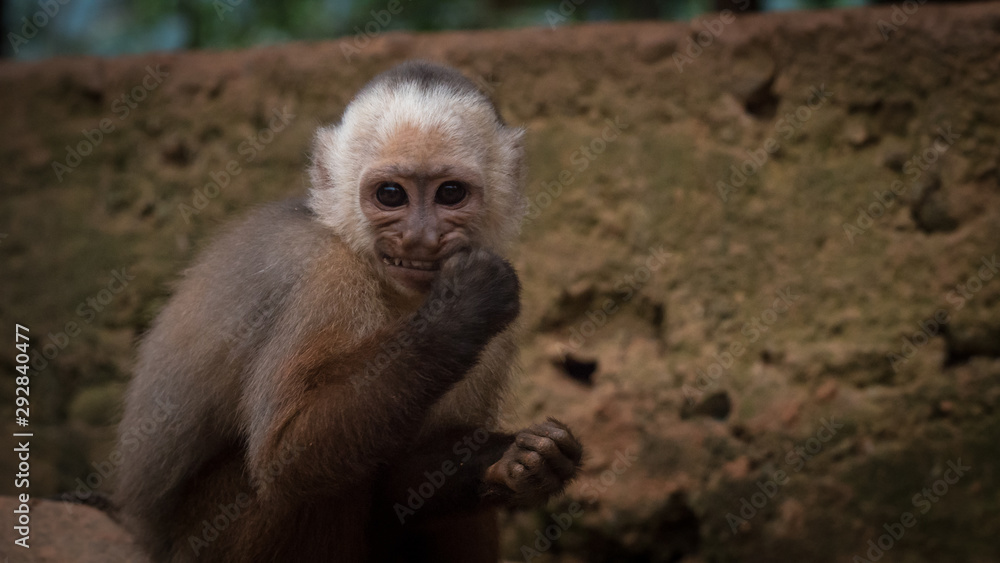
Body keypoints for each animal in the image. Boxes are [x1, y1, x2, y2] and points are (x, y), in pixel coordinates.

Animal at [112, 61, 583, 563]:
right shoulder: (325, 279)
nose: (420, 238)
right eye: (391, 195)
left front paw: (515, 463)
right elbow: (285, 457)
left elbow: (401, 485)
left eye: (451, 193)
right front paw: (460, 310)